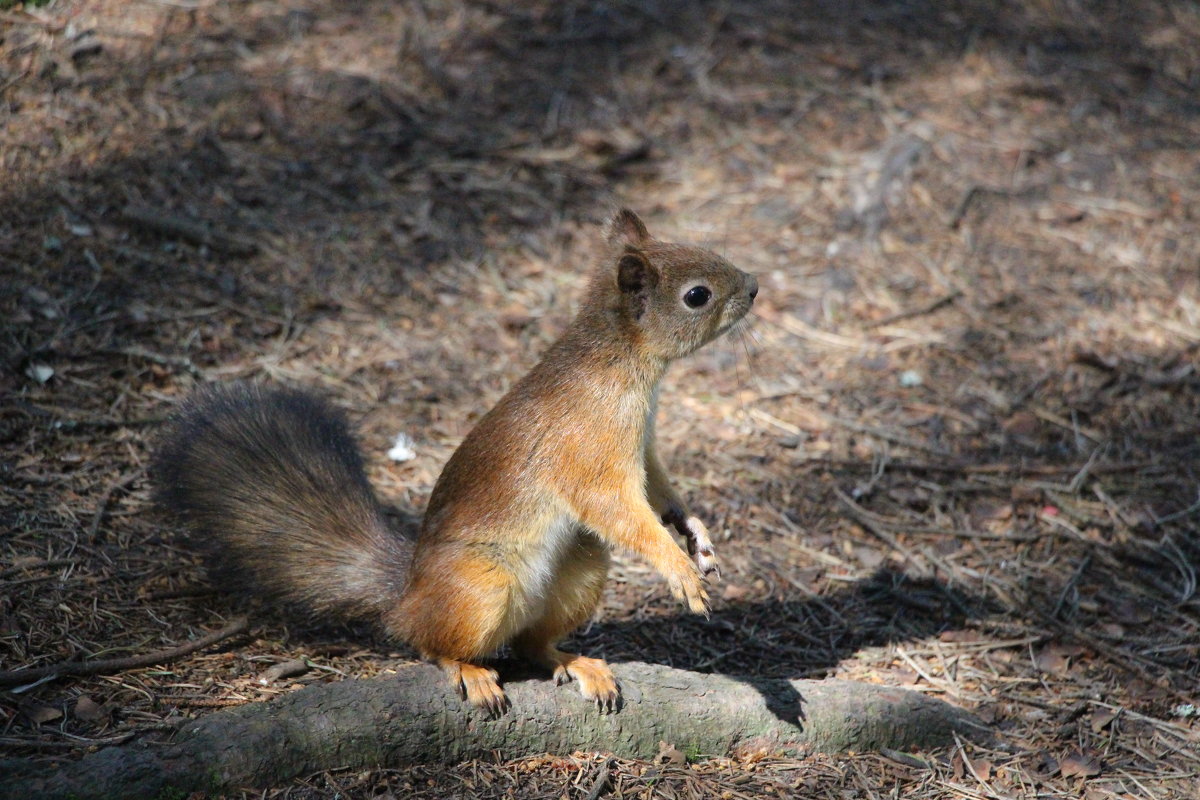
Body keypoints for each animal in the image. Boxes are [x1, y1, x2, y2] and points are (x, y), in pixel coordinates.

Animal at [154, 209, 758, 714]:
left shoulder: (645, 447)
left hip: (579, 572)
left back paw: (575, 662)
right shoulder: (589, 452)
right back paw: (469, 671)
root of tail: (407, 593)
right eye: (697, 295)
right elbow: (620, 511)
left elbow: (661, 491)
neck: (624, 365)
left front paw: (696, 533)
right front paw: (679, 570)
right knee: (430, 642)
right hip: (482, 586)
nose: (753, 286)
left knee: (531, 644)